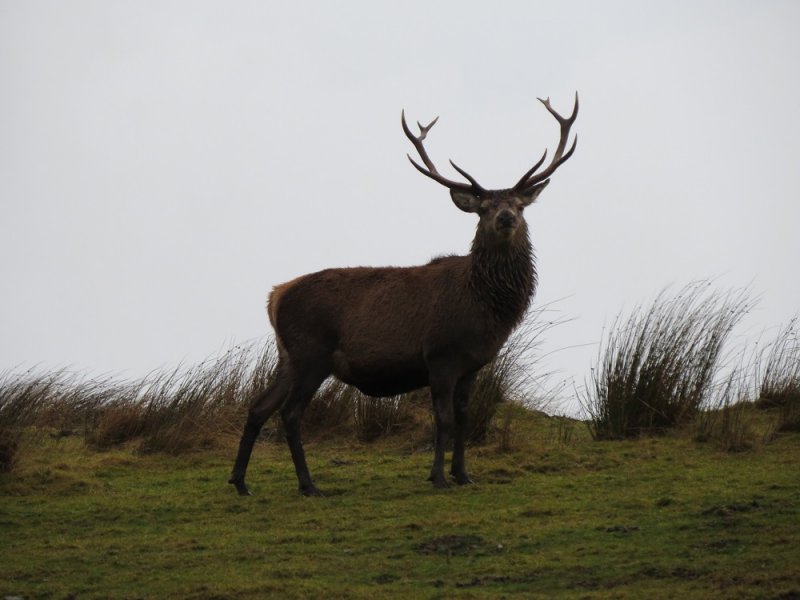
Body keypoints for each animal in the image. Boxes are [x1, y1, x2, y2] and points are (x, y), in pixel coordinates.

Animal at [229, 93, 578, 496]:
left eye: (519, 205)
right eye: (483, 209)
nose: (506, 218)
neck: (485, 309)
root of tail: (275, 296)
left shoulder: (473, 364)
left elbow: (464, 418)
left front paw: (463, 474)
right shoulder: (440, 355)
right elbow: (443, 420)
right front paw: (439, 477)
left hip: (287, 357)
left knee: (259, 407)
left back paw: (240, 482)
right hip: (311, 352)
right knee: (290, 413)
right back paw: (308, 485)